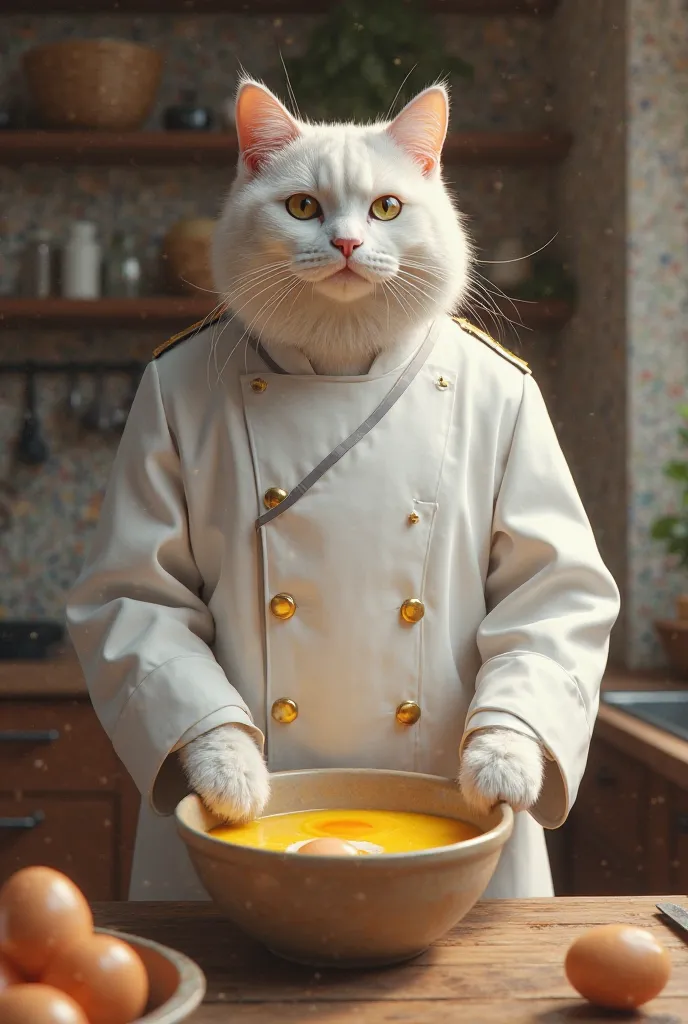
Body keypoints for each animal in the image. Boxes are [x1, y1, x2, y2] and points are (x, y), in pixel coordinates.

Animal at [180, 83, 544, 827]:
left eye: (386, 209)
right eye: (303, 208)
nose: (347, 242)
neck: (340, 375)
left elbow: (539, 602)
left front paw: (499, 766)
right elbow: (155, 608)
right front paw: (231, 779)